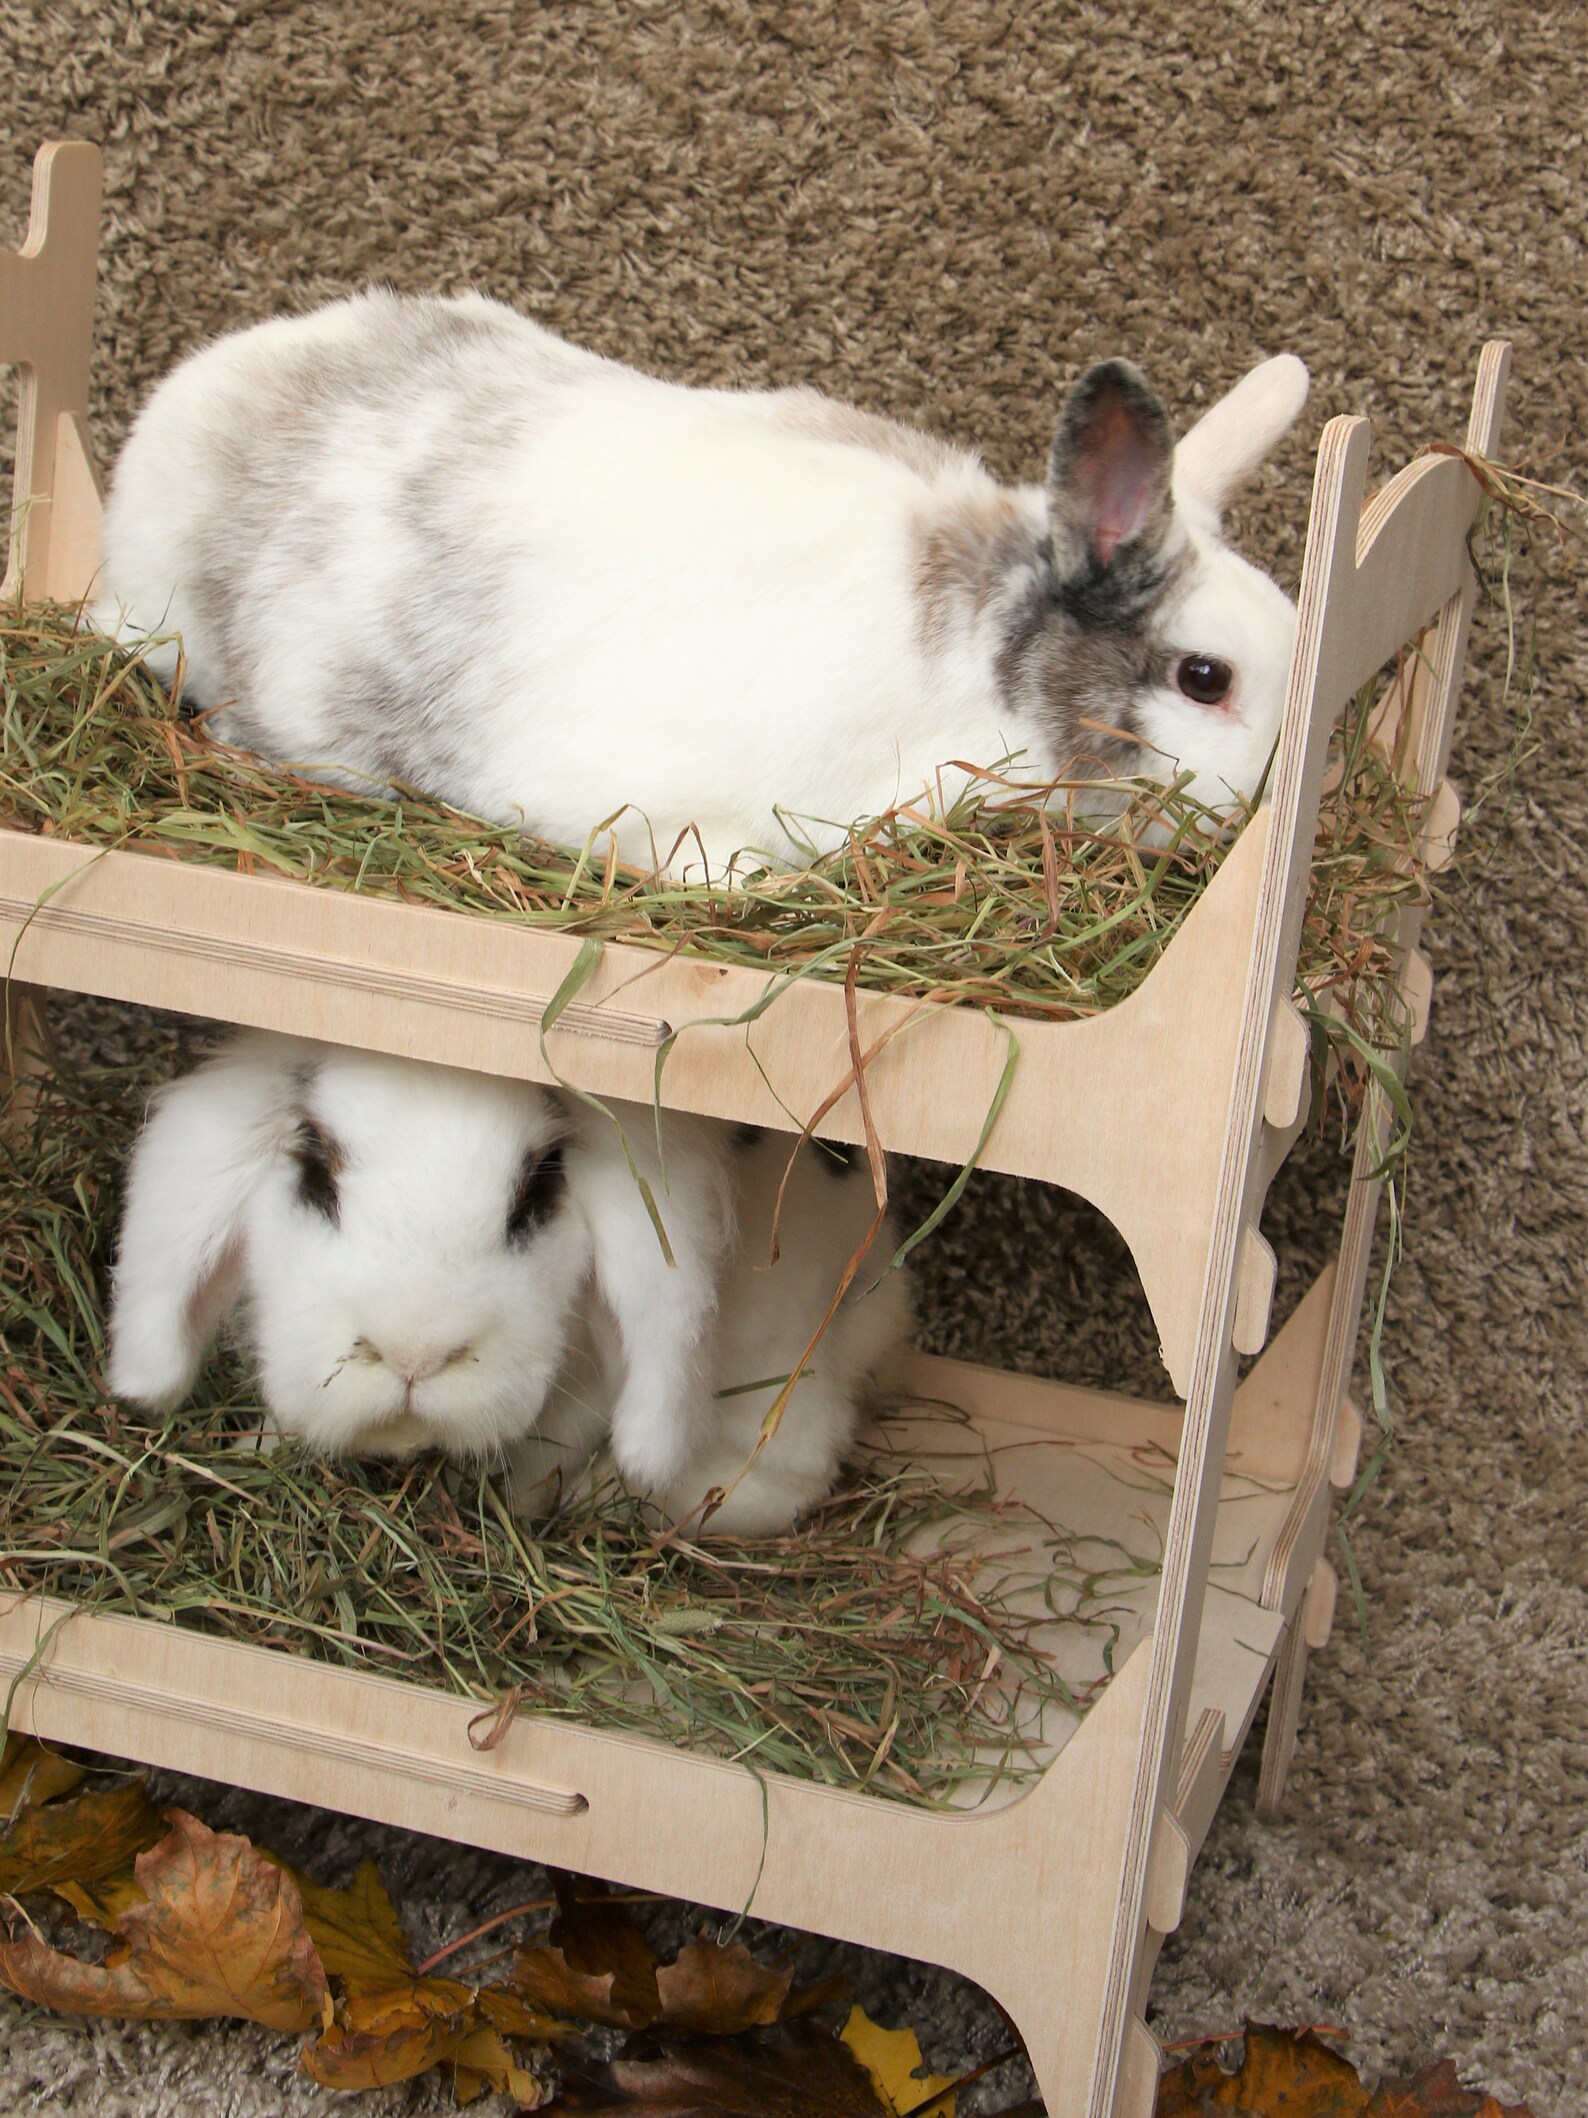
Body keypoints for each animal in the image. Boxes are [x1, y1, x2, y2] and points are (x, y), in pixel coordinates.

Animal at [106, 1033, 910, 1532]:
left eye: (537, 1193)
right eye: (315, 1175)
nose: (415, 1356)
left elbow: (546, 1457)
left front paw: (519, 1508)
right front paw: (256, 1450)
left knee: (778, 1474)